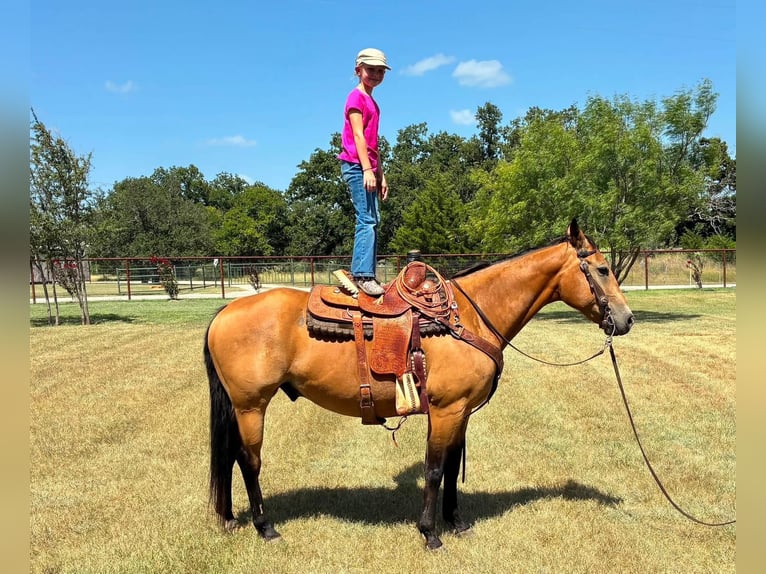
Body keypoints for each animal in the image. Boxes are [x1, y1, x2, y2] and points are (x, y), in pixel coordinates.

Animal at [204, 218, 634, 550]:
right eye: (601, 269)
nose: (626, 319)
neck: (469, 317)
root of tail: (224, 311)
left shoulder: (460, 412)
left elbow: (451, 467)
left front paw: (457, 523)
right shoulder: (446, 410)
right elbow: (434, 469)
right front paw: (430, 533)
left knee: (231, 457)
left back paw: (231, 518)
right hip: (251, 405)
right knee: (248, 460)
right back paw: (265, 527)